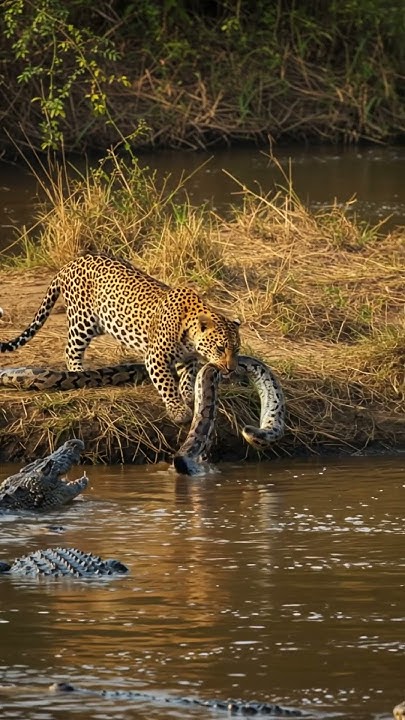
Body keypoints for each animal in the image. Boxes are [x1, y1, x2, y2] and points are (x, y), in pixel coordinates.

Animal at [0, 254, 241, 423]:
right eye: (220, 348)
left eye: (236, 350)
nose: (231, 369)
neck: (191, 335)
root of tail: (70, 264)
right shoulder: (156, 358)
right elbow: (167, 384)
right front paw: (178, 410)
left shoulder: (188, 358)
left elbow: (187, 377)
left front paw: (188, 394)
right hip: (83, 320)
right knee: (70, 349)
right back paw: (79, 372)